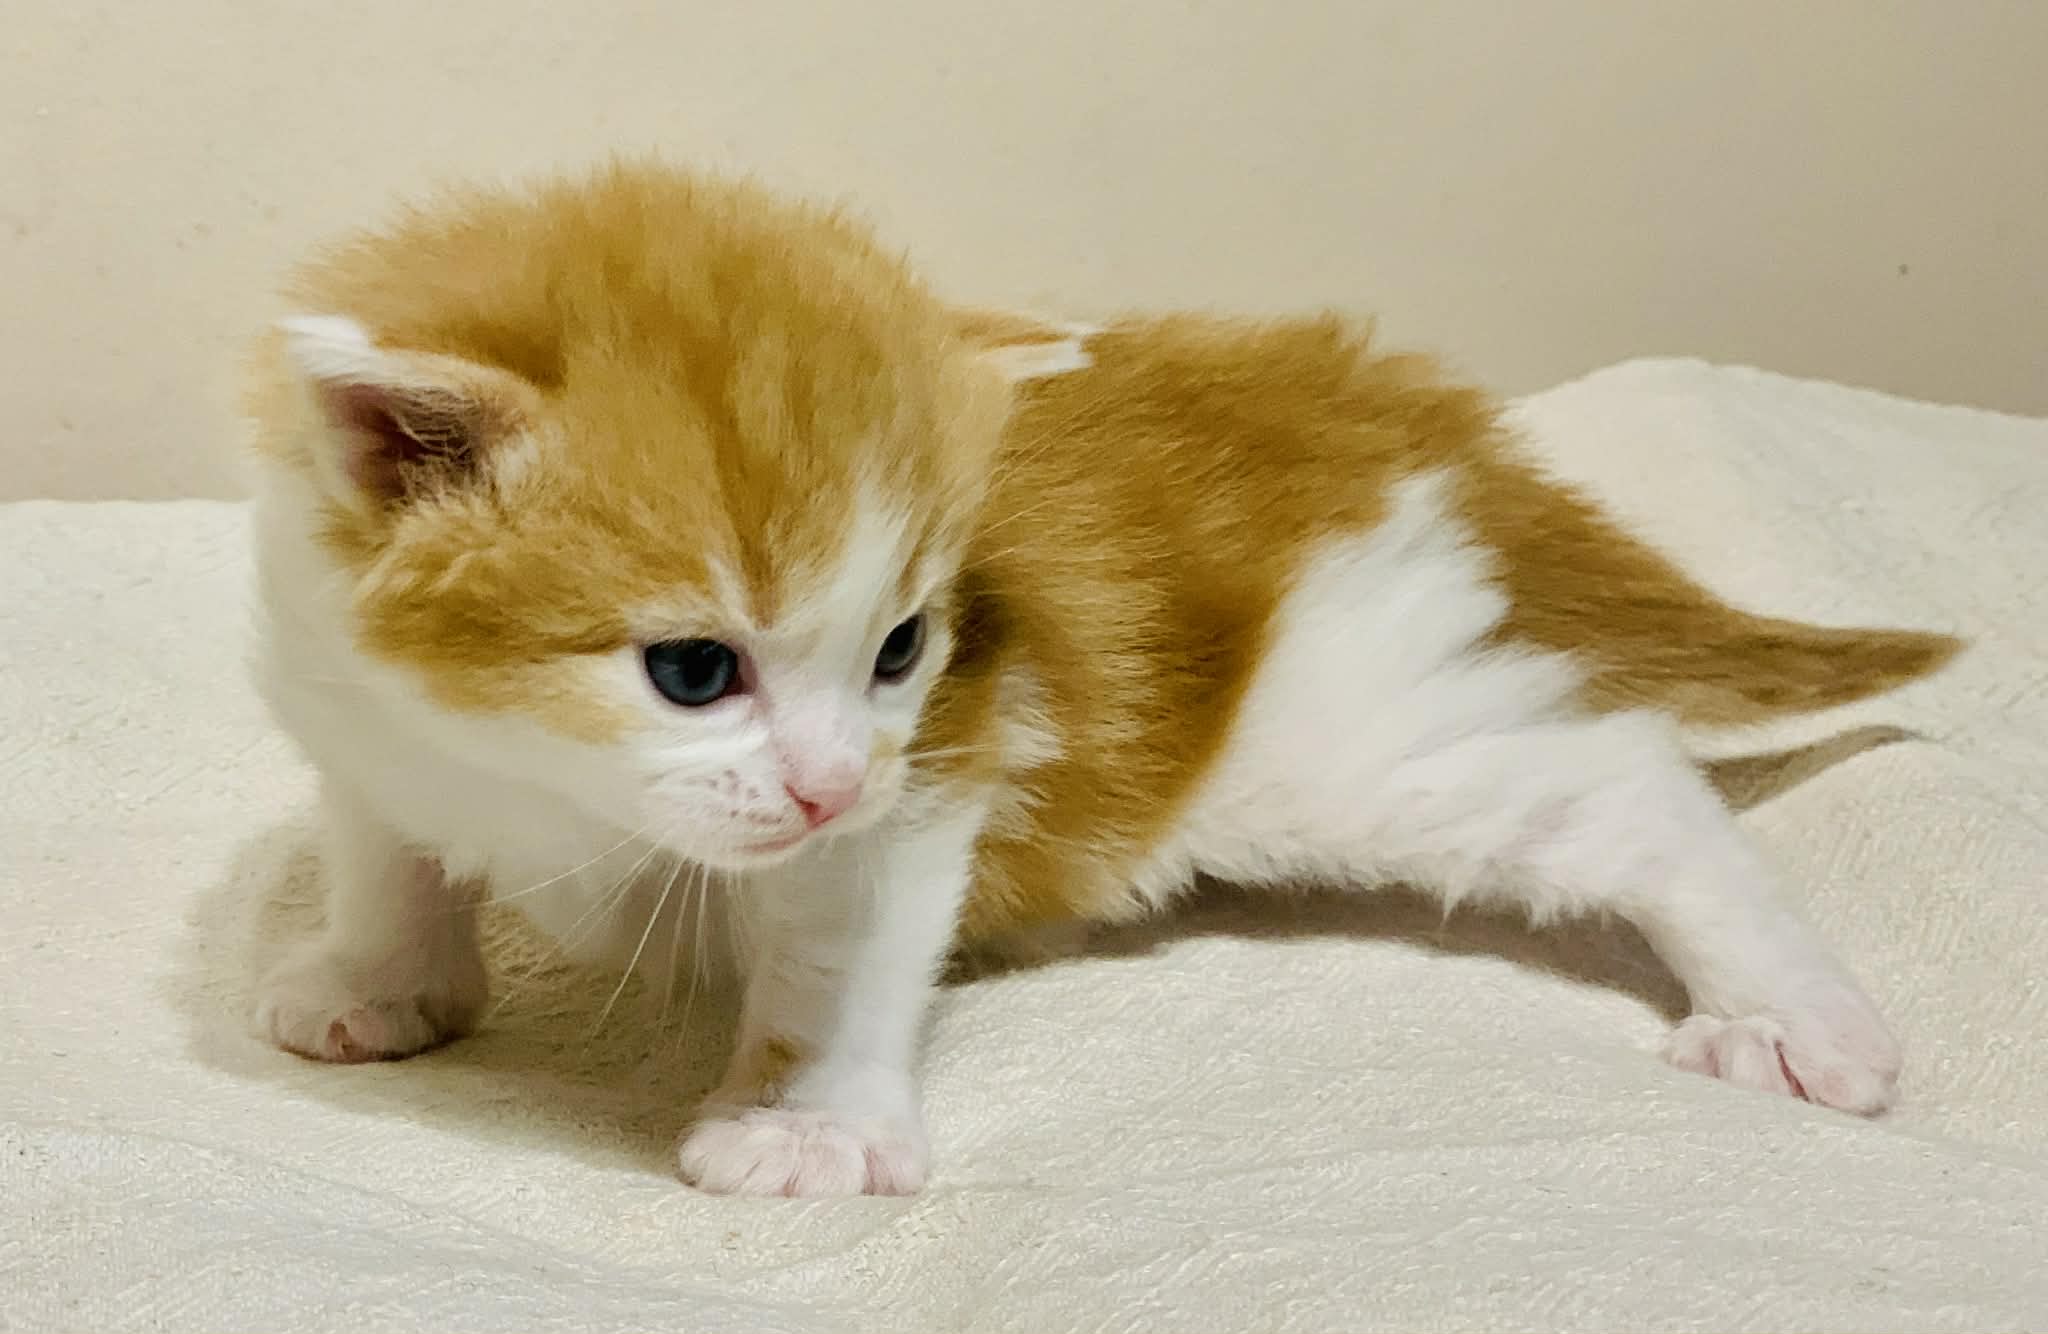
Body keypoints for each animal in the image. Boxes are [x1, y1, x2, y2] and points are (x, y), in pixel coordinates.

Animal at [244, 160, 1959, 1197]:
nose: (825, 781)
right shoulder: (346, 696)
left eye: (903, 648)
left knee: (1619, 778)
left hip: (1334, 735)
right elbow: (385, 852)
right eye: (691, 668)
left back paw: (1794, 1014)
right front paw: (375, 980)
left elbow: (835, 952)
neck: (524, 764)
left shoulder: (936, 769)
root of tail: (1334, 389)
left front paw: (803, 1128)